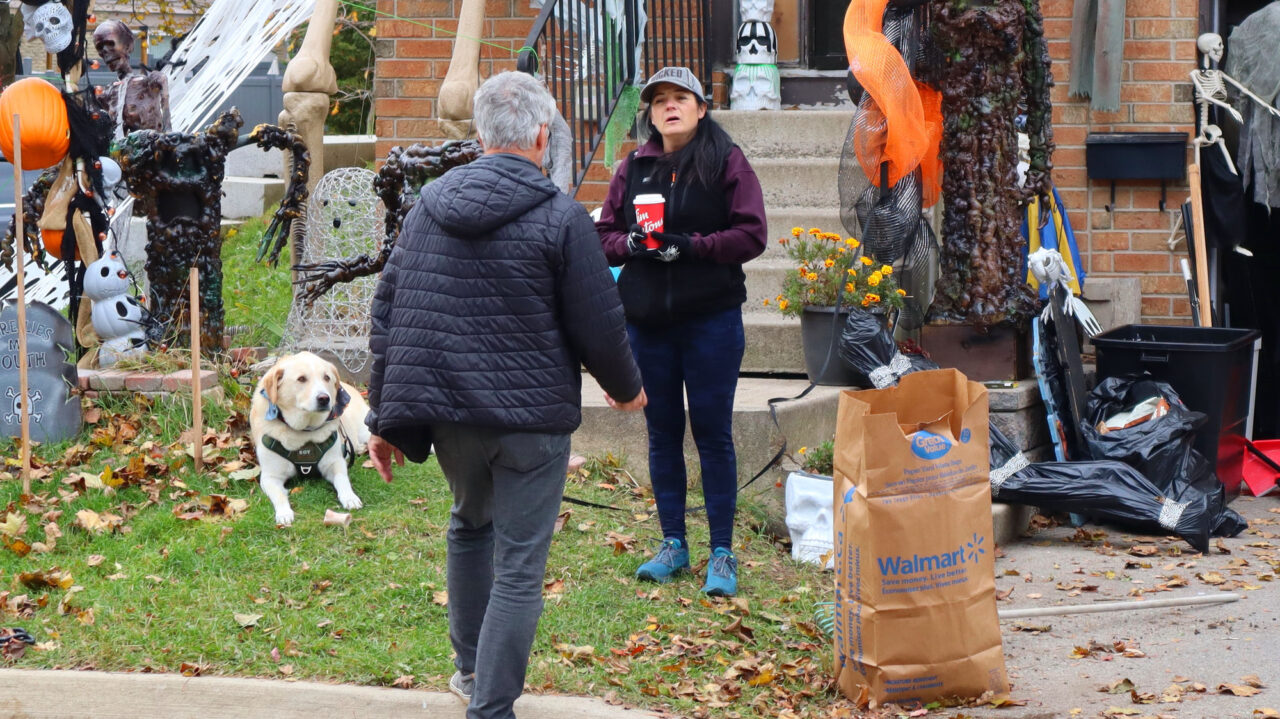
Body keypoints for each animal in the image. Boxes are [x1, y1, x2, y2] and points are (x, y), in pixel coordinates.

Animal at [250, 352, 371, 526]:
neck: (304, 431)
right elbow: (279, 495)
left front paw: (349, 497)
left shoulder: (335, 463)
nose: (324, 398)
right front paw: (284, 513)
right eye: (301, 379)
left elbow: (343, 480)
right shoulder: (270, 477)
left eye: (326, 377)